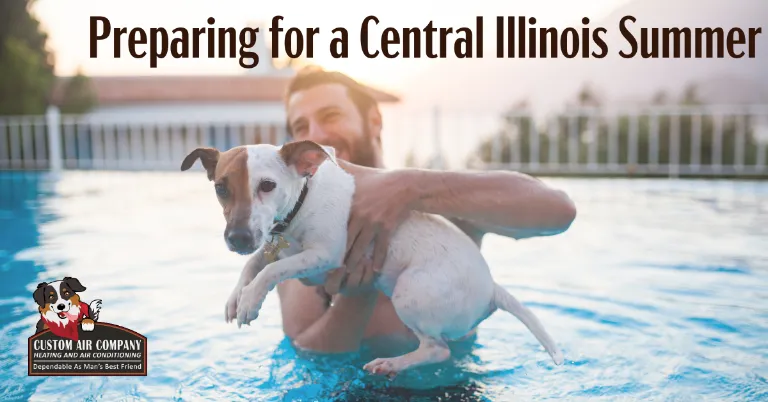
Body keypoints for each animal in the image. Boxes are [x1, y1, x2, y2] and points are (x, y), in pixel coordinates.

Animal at [180, 140, 564, 376]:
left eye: (267, 186)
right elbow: (255, 263)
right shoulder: (273, 244)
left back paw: (392, 364)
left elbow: (271, 270)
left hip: (410, 294)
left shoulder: (324, 256)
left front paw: (250, 301)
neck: (302, 203)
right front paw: (236, 298)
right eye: (221, 188)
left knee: (438, 349)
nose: (237, 238)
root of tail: (493, 288)